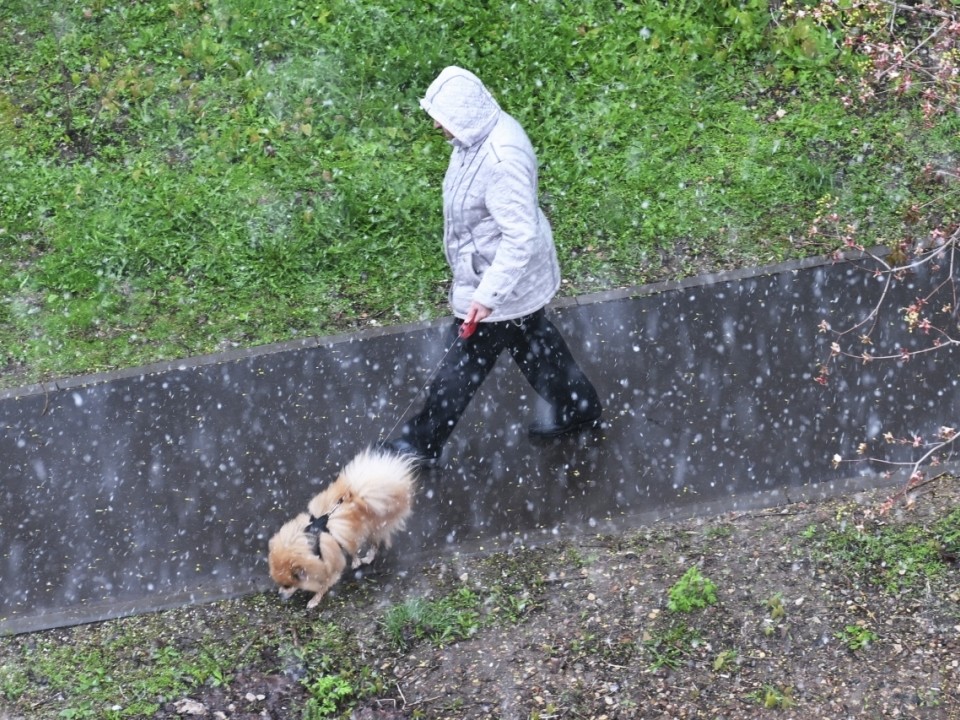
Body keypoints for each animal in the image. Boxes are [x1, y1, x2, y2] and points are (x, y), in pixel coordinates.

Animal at [270, 450, 420, 608]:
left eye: (287, 585)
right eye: (279, 584)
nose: (280, 594)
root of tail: (360, 494)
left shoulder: (330, 566)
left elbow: (324, 585)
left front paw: (314, 600)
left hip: (373, 529)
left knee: (374, 544)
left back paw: (365, 558)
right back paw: (356, 560)